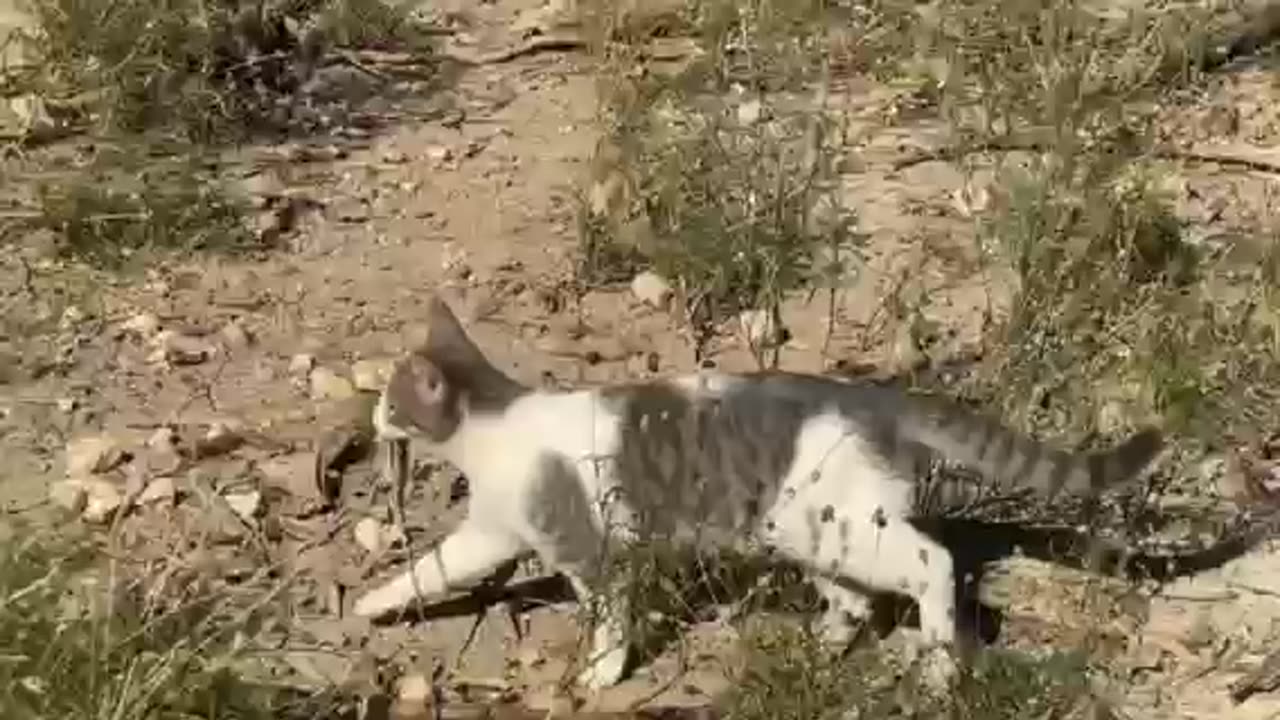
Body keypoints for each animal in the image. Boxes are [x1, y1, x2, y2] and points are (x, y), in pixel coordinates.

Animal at [355, 293, 1167, 691]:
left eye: (393, 401)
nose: (369, 422)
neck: (494, 434)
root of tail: (873, 397)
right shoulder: (489, 532)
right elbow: (430, 567)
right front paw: (372, 603)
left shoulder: (589, 550)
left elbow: (610, 618)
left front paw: (602, 673)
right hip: (807, 531)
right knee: (856, 599)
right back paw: (824, 641)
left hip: (848, 527)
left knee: (934, 566)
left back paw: (940, 668)